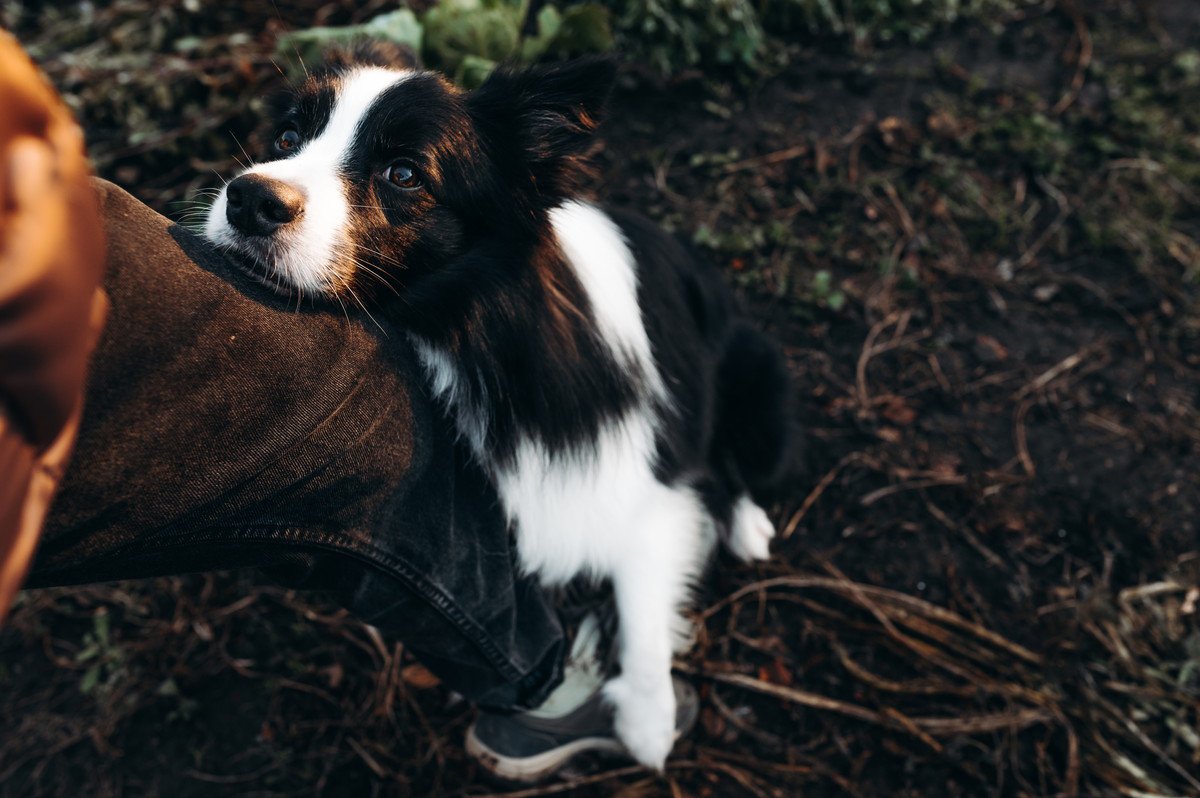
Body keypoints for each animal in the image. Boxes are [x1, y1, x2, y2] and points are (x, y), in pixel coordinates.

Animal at [201, 46, 792, 768]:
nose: (249, 199)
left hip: (759, 386)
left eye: (404, 173)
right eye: (287, 137)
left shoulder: (640, 478)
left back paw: (746, 524)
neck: (465, 330)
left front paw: (649, 720)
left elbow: (643, 591)